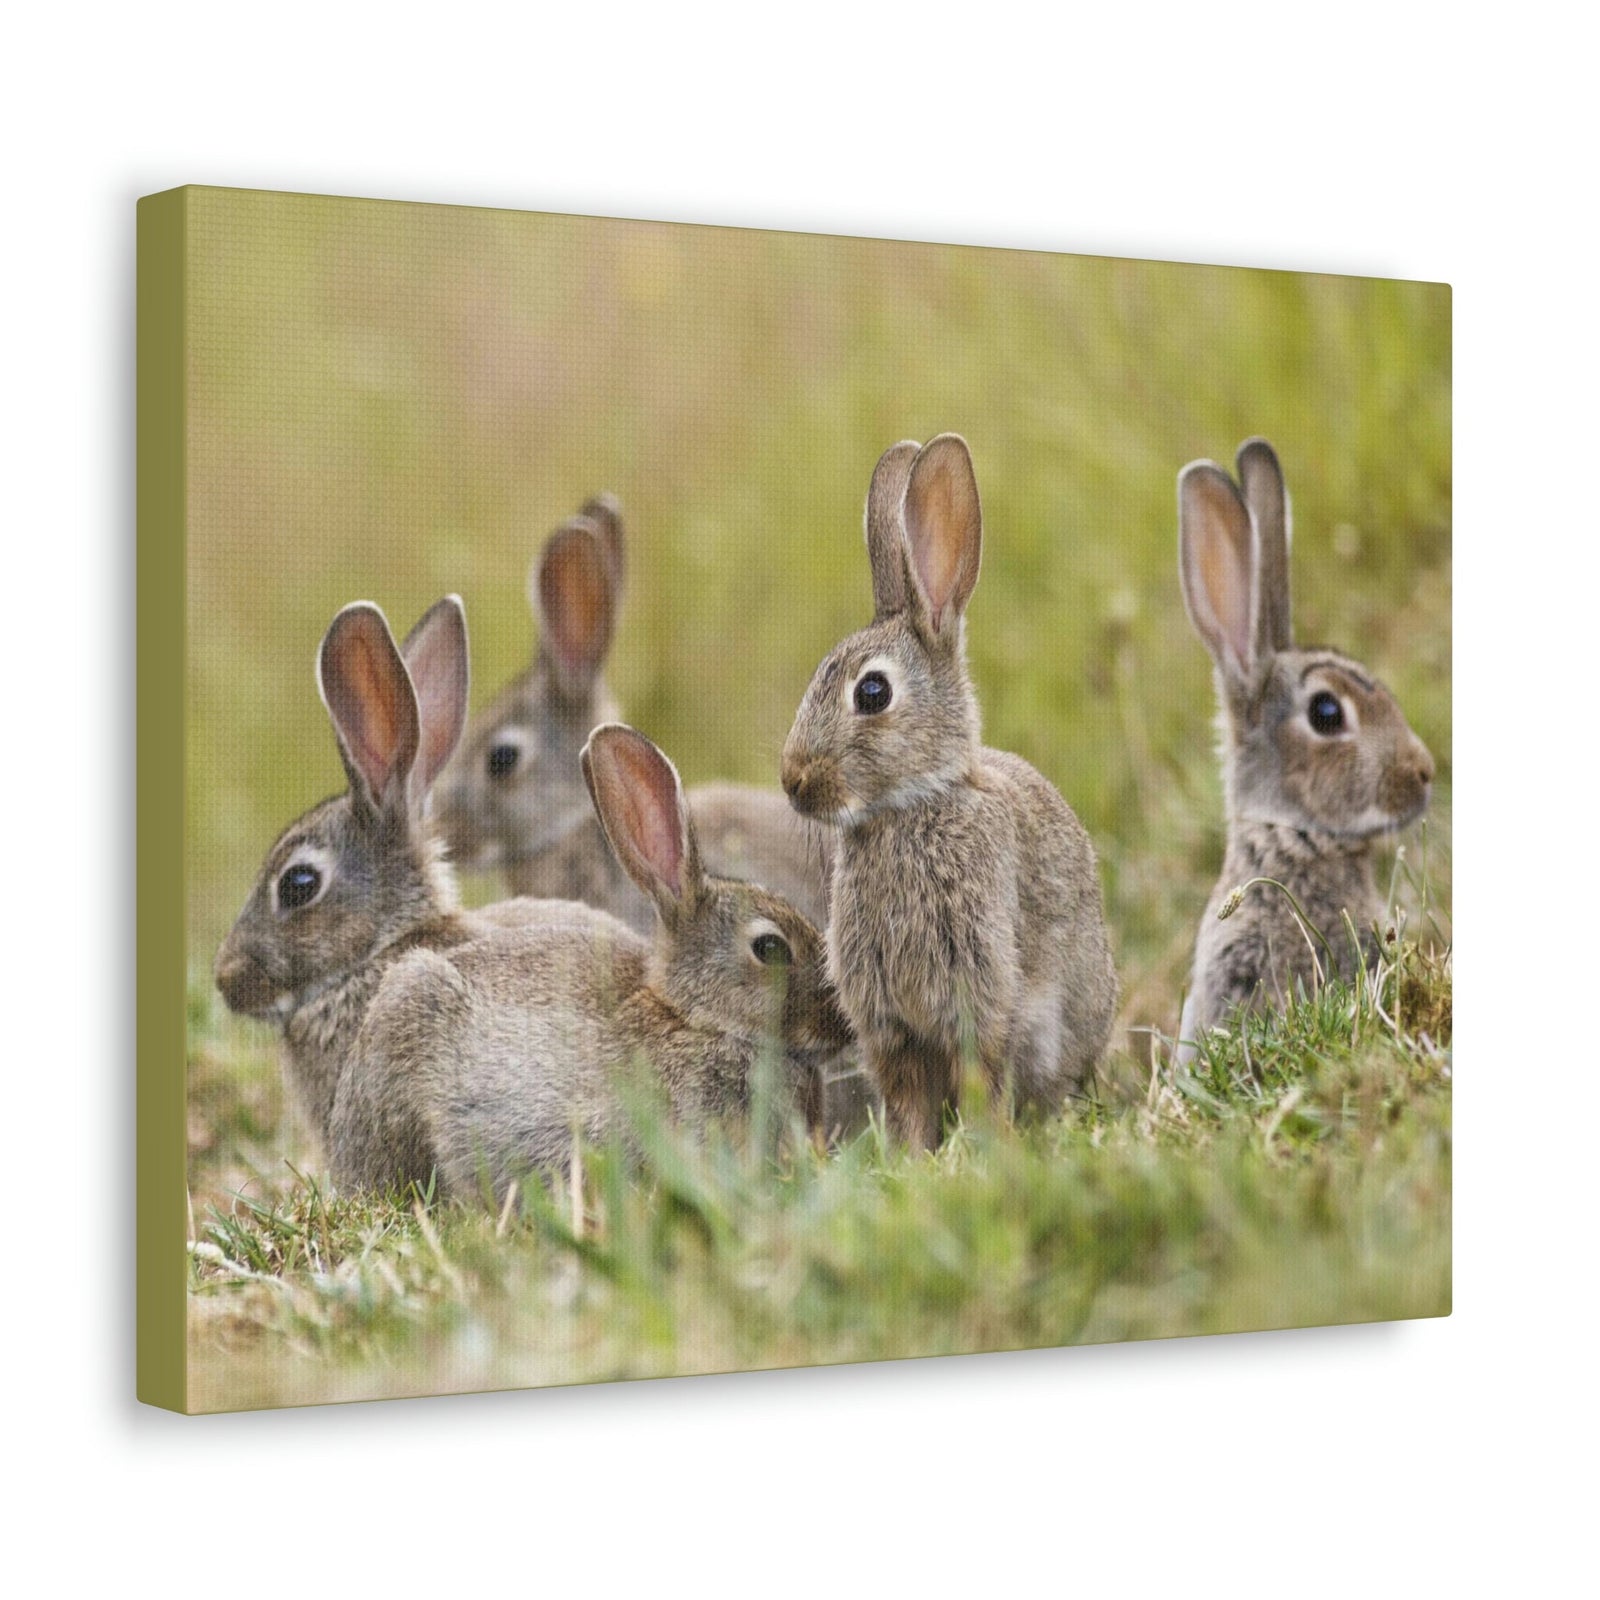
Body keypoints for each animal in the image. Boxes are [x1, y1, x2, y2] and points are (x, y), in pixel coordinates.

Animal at [780, 435, 1118, 1151]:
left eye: (872, 692)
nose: (793, 781)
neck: (910, 807)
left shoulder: (978, 993)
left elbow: (980, 1075)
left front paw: (986, 1149)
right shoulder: (891, 1027)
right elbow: (910, 1099)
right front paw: (915, 1157)